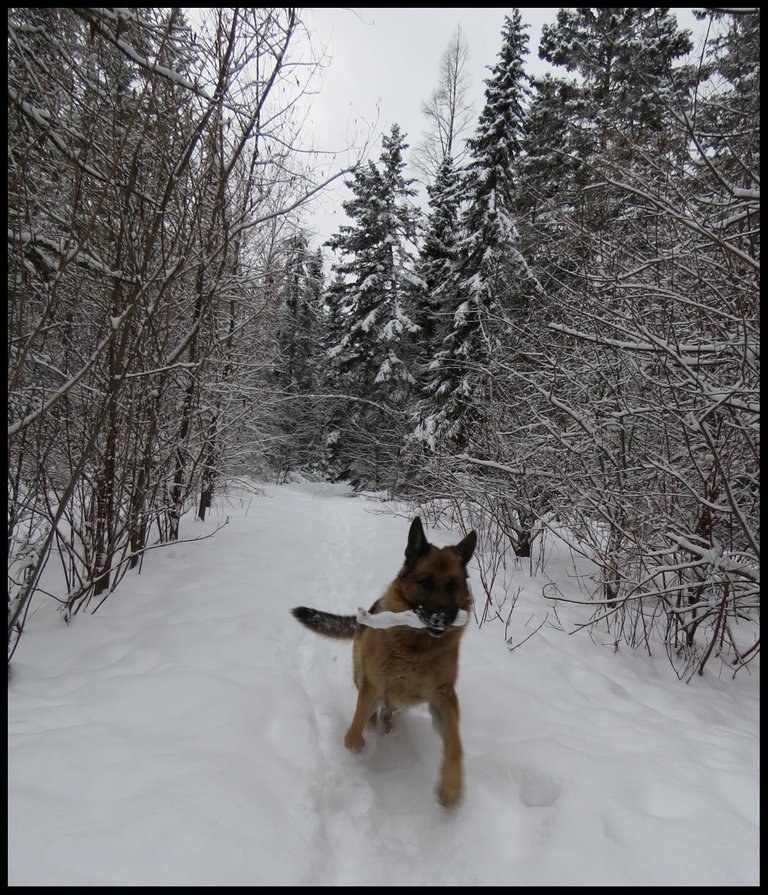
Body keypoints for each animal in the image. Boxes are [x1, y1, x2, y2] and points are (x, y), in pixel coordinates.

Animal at [292, 520, 474, 804]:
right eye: (426, 582)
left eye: (453, 586)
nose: (442, 619)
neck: (415, 647)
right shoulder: (373, 687)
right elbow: (353, 733)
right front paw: (359, 746)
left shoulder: (443, 697)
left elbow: (455, 742)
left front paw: (451, 786)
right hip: (362, 677)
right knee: (376, 711)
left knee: (389, 711)